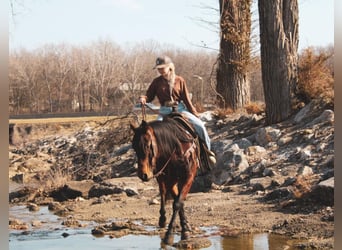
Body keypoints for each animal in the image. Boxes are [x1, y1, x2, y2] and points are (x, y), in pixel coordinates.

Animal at [131, 114, 200, 244]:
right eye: (134, 147)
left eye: (147, 145)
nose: (143, 174)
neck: (177, 150)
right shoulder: (169, 180)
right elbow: (176, 201)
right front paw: (175, 231)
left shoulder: (189, 176)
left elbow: (178, 203)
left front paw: (179, 231)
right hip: (162, 177)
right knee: (163, 192)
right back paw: (163, 219)